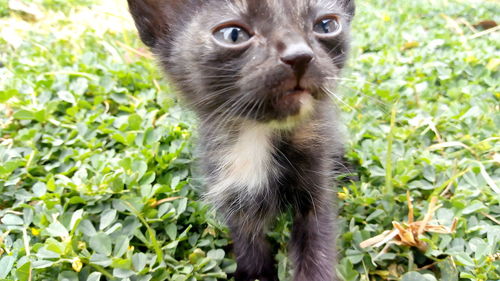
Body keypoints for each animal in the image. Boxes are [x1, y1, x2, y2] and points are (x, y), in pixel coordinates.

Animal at [129, 1, 356, 278]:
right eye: (233, 35)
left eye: (326, 25)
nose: (300, 55)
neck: (257, 134)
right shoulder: (231, 190)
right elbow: (248, 241)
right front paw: (255, 272)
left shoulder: (316, 180)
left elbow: (318, 243)